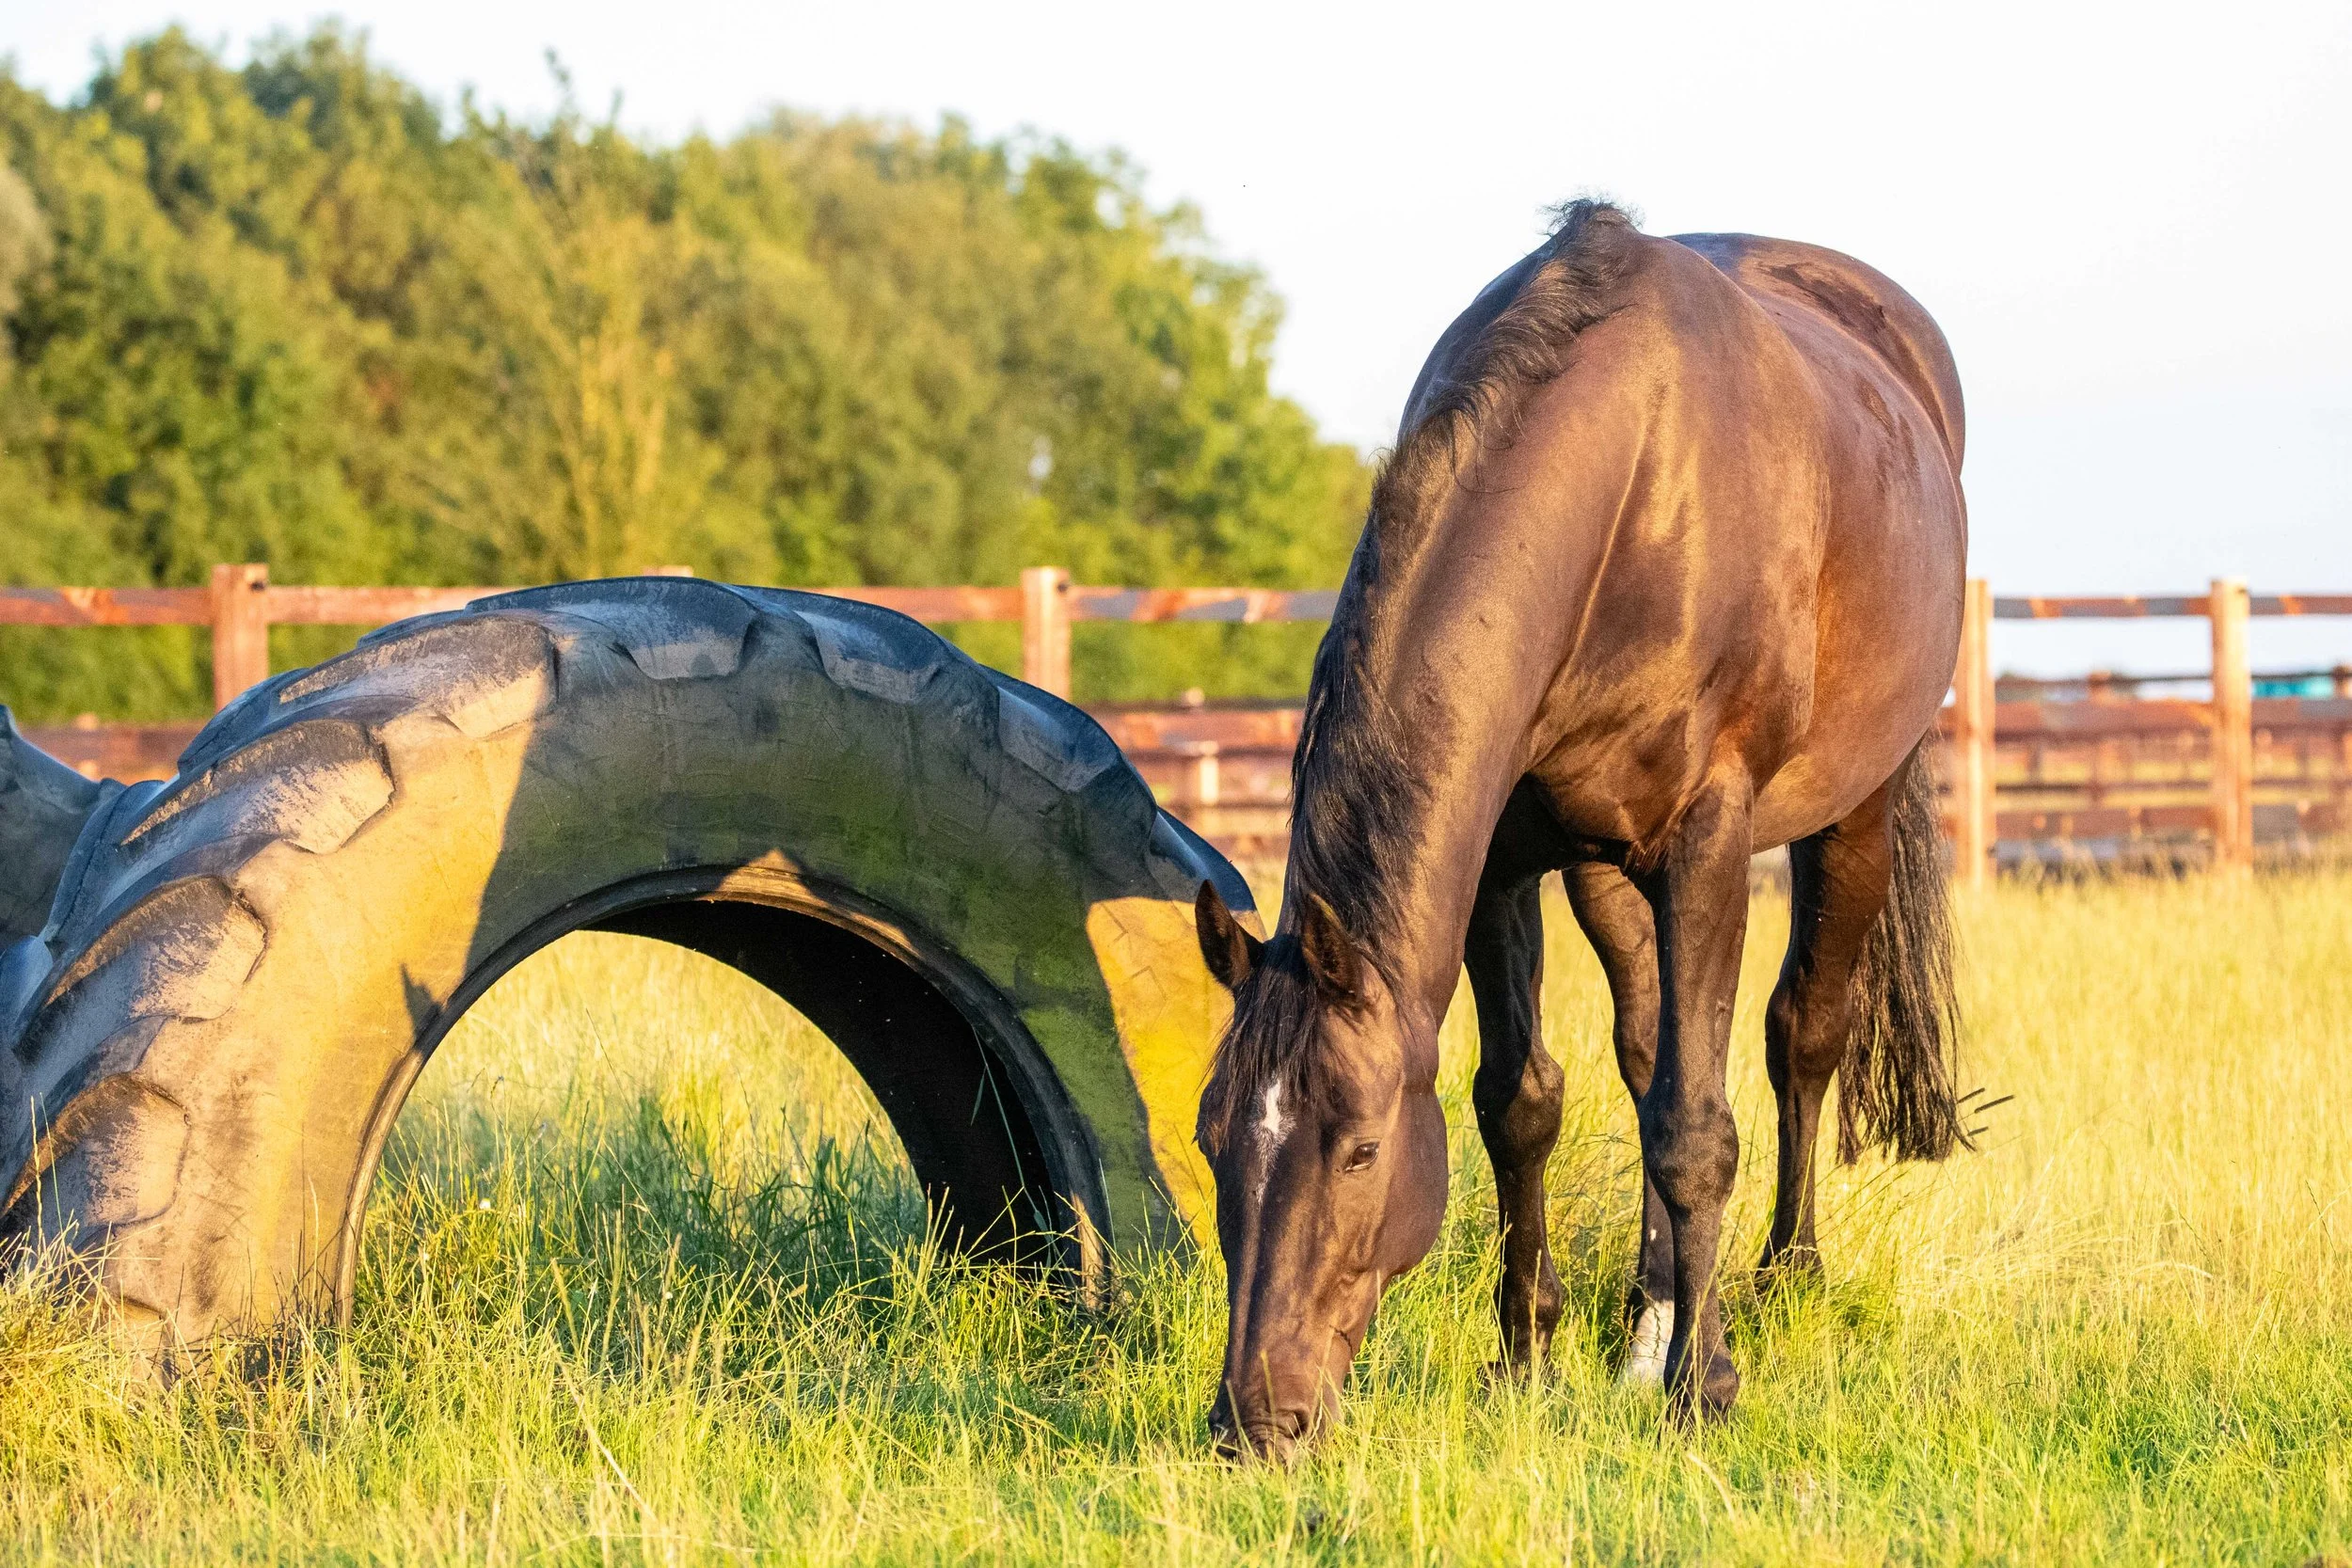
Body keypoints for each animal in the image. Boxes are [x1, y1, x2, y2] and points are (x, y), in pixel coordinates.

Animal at [1190, 200, 1971, 1460]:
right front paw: (1526, 1356)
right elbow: (1521, 1103)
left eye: (1358, 1146)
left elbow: (1699, 1127)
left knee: (1800, 1033)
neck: (1633, 492)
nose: (1257, 1419)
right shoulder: (1503, 863)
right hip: (1606, 871)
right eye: (1212, 1137)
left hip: (1851, 804)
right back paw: (1644, 1317)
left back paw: (1780, 1279)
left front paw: (1704, 1384)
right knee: (1649, 1048)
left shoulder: (1707, 840)